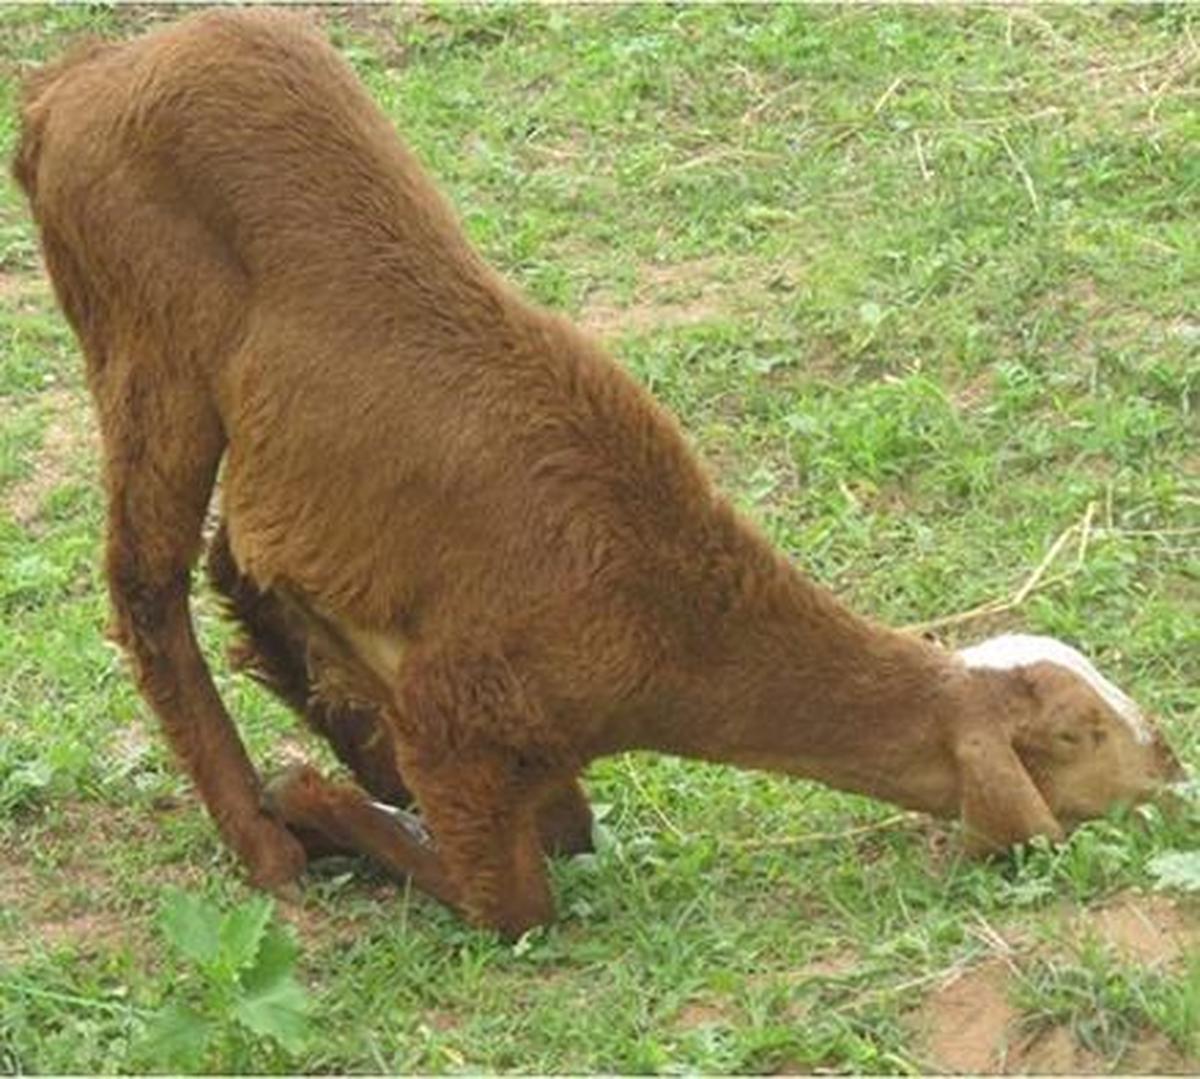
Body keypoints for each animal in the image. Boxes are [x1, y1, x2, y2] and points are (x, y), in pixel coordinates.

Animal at [14, 9, 1184, 938]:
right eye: (1076, 733)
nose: (1174, 767)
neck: (675, 626)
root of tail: (75, 81)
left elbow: (567, 828)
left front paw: (348, 768)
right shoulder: (462, 708)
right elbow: (516, 904)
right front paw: (312, 802)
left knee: (229, 561)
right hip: (145, 327)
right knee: (146, 583)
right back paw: (265, 843)